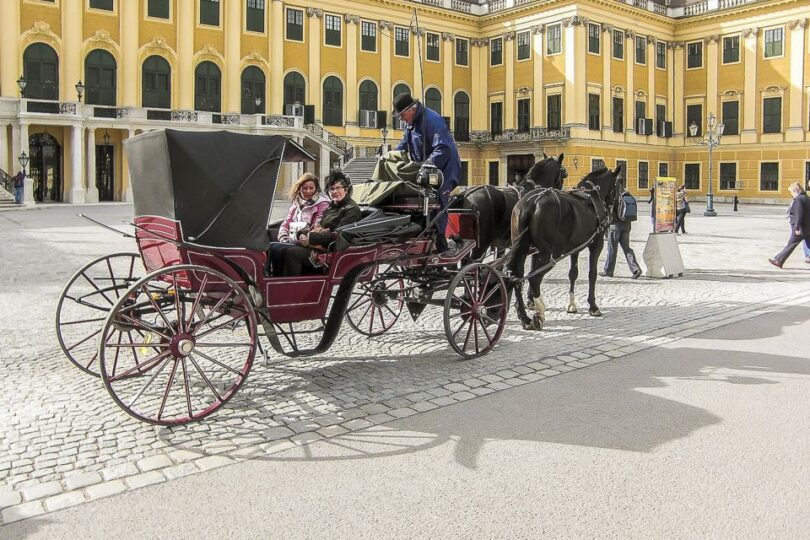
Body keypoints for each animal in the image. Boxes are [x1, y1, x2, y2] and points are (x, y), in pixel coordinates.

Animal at [504, 165, 620, 330]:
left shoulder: (575, 248)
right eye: (618, 185)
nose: (616, 211)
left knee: (516, 277)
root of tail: (531, 202)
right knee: (534, 278)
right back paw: (539, 314)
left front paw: (571, 305)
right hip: (548, 254)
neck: (591, 198)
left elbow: (573, 274)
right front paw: (593, 306)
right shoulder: (596, 244)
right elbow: (592, 274)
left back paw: (524, 318)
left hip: (522, 250)